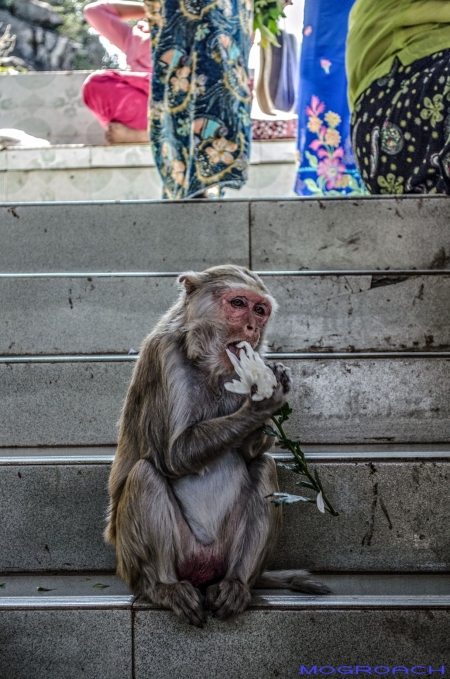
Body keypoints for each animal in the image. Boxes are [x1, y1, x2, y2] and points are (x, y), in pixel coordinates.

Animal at [105, 264, 330, 628]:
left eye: (260, 310)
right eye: (238, 303)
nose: (252, 327)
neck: (208, 365)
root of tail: (204, 572)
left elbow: (253, 455)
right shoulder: (163, 356)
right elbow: (174, 454)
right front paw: (262, 399)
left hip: (223, 554)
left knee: (264, 467)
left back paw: (236, 584)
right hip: (152, 559)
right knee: (145, 474)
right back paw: (164, 588)